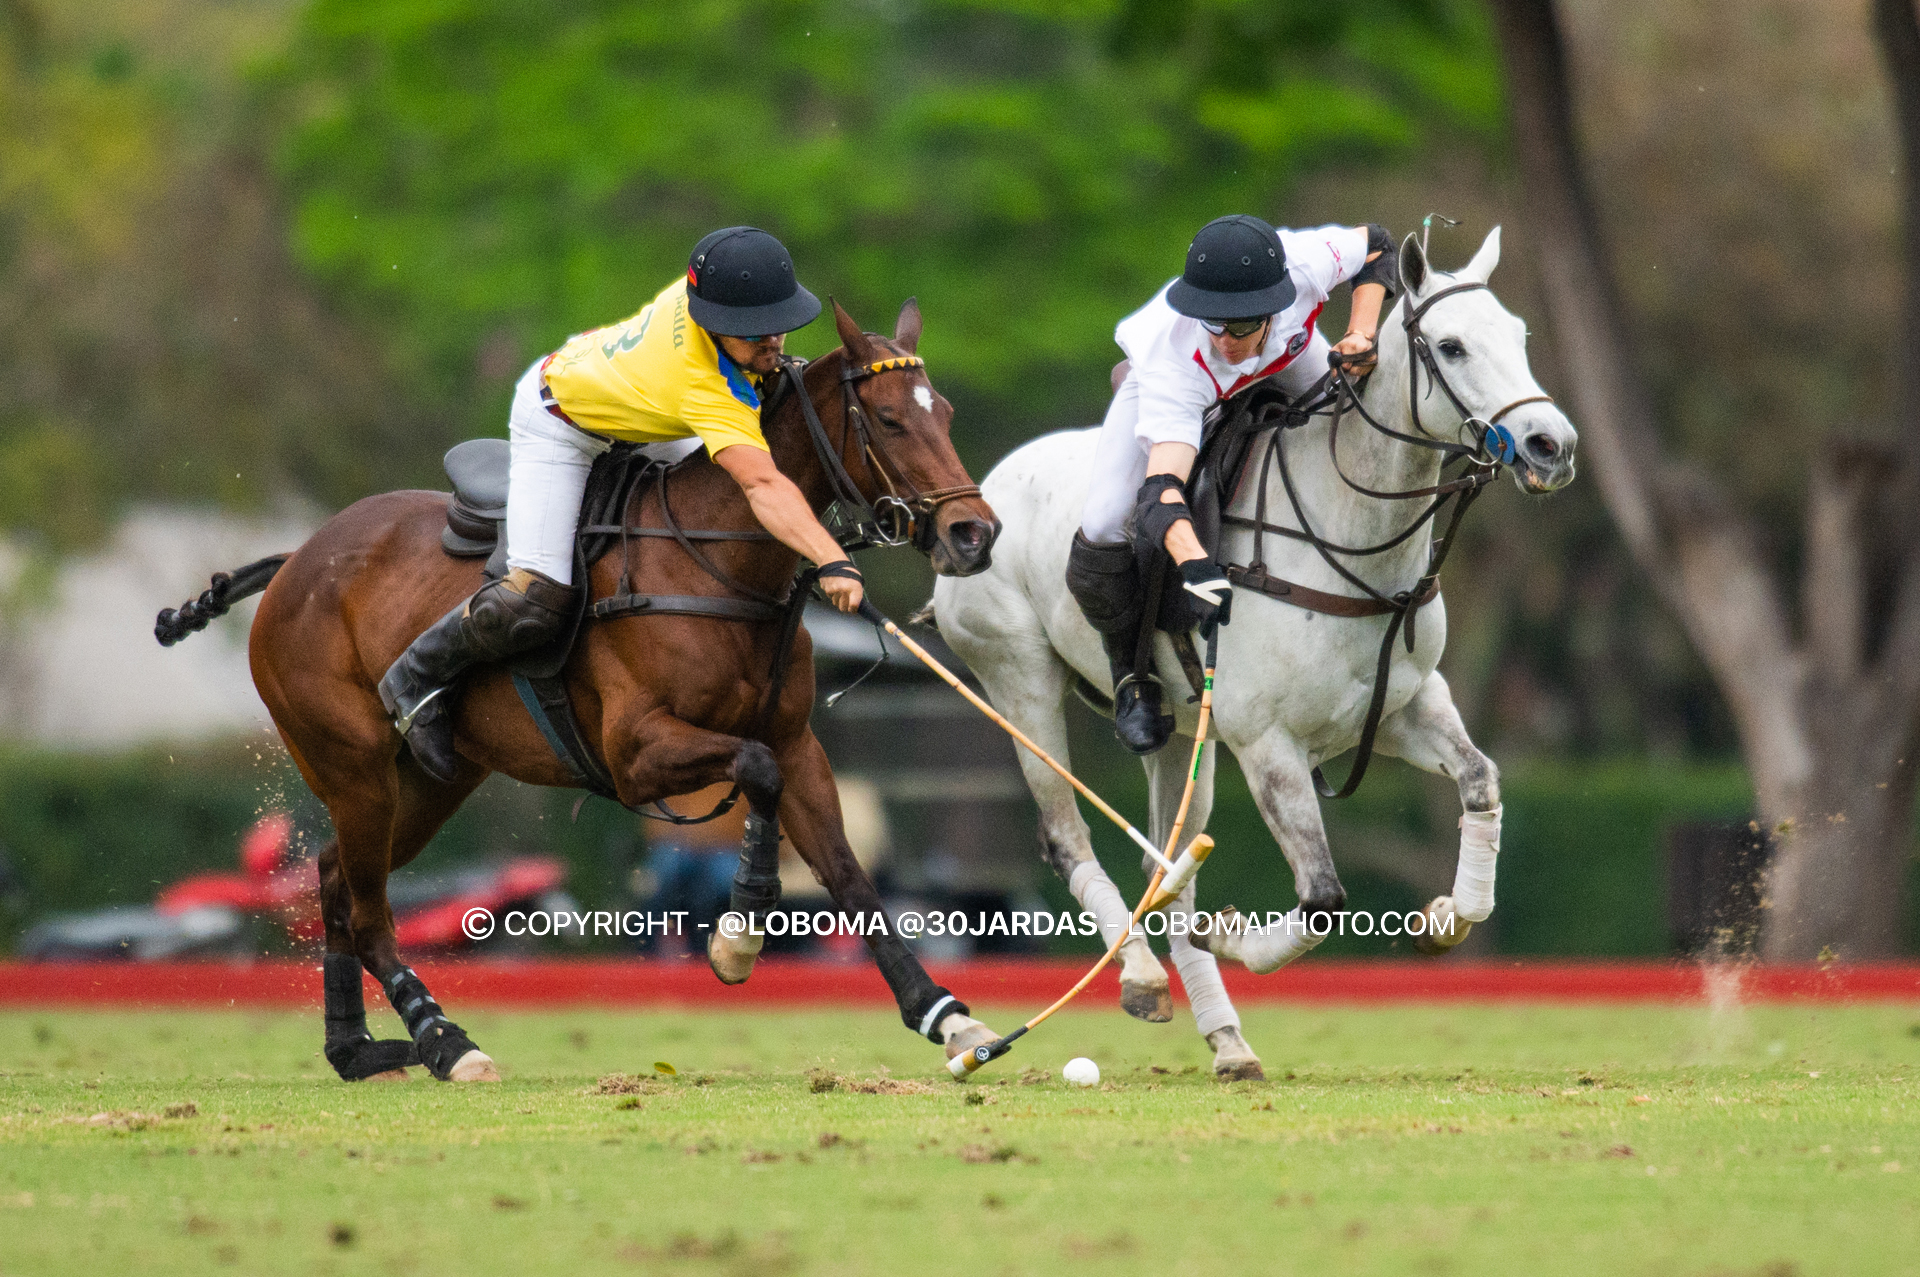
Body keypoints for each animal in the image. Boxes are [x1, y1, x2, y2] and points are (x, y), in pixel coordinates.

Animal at [161, 299, 1006, 1075]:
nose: (974, 535)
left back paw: (358, 1048)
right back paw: (447, 1041)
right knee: (368, 910)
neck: (720, 562)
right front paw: (738, 937)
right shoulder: (636, 753)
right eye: (890, 420)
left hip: (430, 780)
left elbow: (846, 871)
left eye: (946, 412)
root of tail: (296, 558)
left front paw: (946, 1015)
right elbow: (754, 770)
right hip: (352, 763)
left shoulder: (798, 743)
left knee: (338, 883)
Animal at [929, 226, 1574, 1075]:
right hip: (1019, 680)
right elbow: (1325, 900)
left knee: (1167, 867)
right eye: (1451, 345)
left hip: (1185, 735)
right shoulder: (1271, 744)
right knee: (1071, 837)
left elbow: (1481, 781)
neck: (1355, 548)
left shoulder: (1404, 707)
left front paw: (1446, 915)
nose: (1551, 445)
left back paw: (1227, 1037)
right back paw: (1140, 973)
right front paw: (1237, 935)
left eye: (1522, 337)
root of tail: (979, 496)